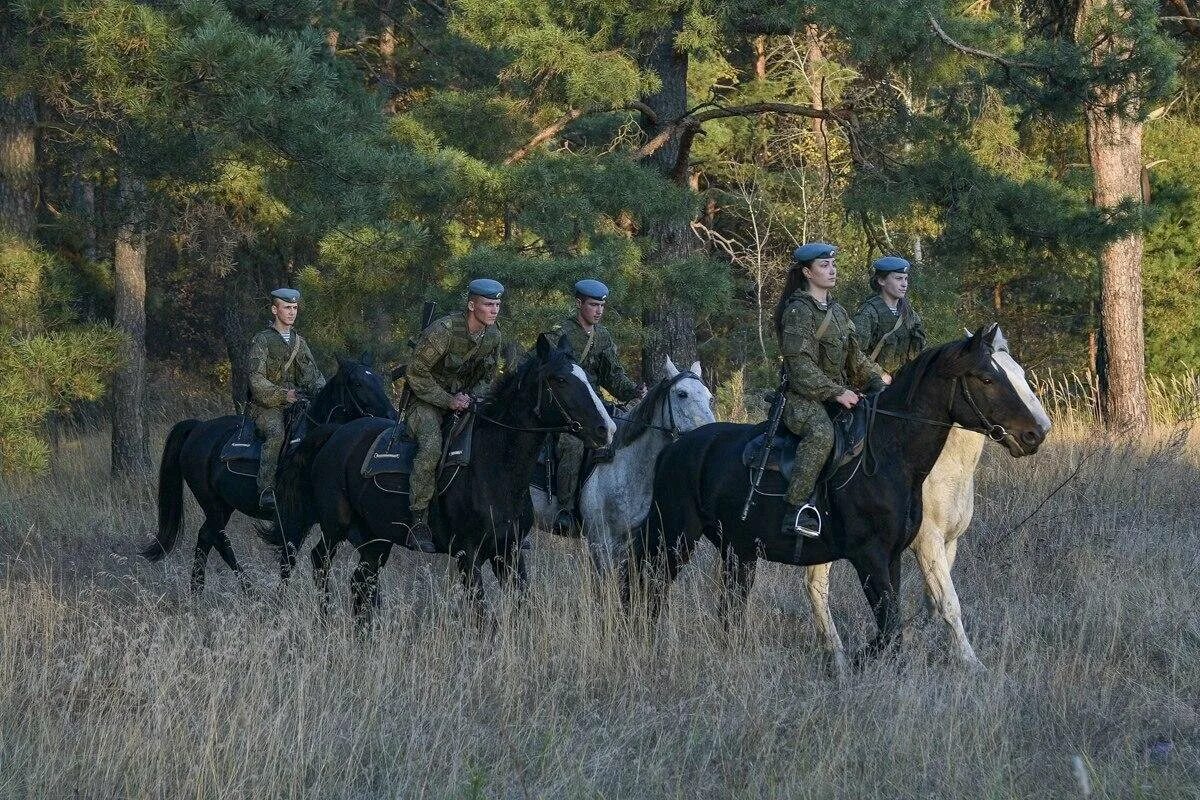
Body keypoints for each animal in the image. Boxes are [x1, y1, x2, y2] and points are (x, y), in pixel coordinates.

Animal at [139, 357, 393, 594]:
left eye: (379, 380)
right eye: (357, 383)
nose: (392, 415)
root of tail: (198, 428)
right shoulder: (292, 518)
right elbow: (288, 558)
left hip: (224, 505)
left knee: (206, 538)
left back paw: (198, 589)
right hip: (212, 503)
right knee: (218, 539)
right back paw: (248, 589)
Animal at [278, 335, 619, 623]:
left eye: (590, 378)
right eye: (559, 379)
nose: (606, 429)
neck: (495, 465)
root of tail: (335, 433)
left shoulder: (508, 553)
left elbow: (523, 607)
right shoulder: (468, 556)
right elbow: (483, 619)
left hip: (376, 539)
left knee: (362, 583)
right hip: (335, 526)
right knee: (319, 562)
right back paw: (326, 621)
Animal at [532, 357, 715, 575]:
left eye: (709, 397)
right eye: (682, 394)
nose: (710, 432)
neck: (626, 464)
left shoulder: (628, 542)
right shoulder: (600, 541)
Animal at [806, 429, 984, 671]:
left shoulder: (949, 543)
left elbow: (933, 600)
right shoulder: (928, 541)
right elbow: (949, 602)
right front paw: (971, 662)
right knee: (817, 585)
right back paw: (838, 658)